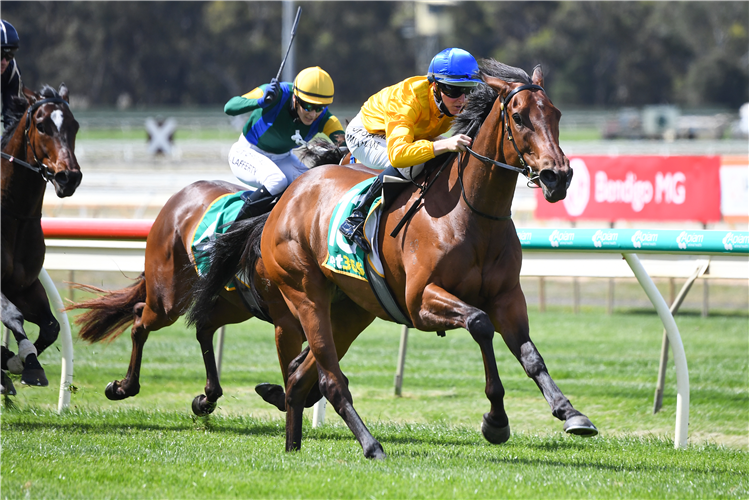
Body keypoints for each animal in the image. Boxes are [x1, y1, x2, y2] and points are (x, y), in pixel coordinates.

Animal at [0, 85, 82, 390]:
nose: (69, 177)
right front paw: (26, 363)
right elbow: (12, 314)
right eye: (41, 125)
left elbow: (51, 327)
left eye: (74, 125)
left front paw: (15, 360)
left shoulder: (24, 286)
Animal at [191, 58, 596, 458]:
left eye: (555, 114)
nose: (558, 176)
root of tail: (287, 197)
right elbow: (480, 324)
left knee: (299, 374)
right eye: (519, 117)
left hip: (352, 310)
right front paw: (495, 420)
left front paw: (570, 413)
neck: (472, 213)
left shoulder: (507, 297)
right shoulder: (420, 301)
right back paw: (371, 446)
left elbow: (530, 355)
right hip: (305, 294)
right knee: (328, 377)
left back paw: (293, 443)